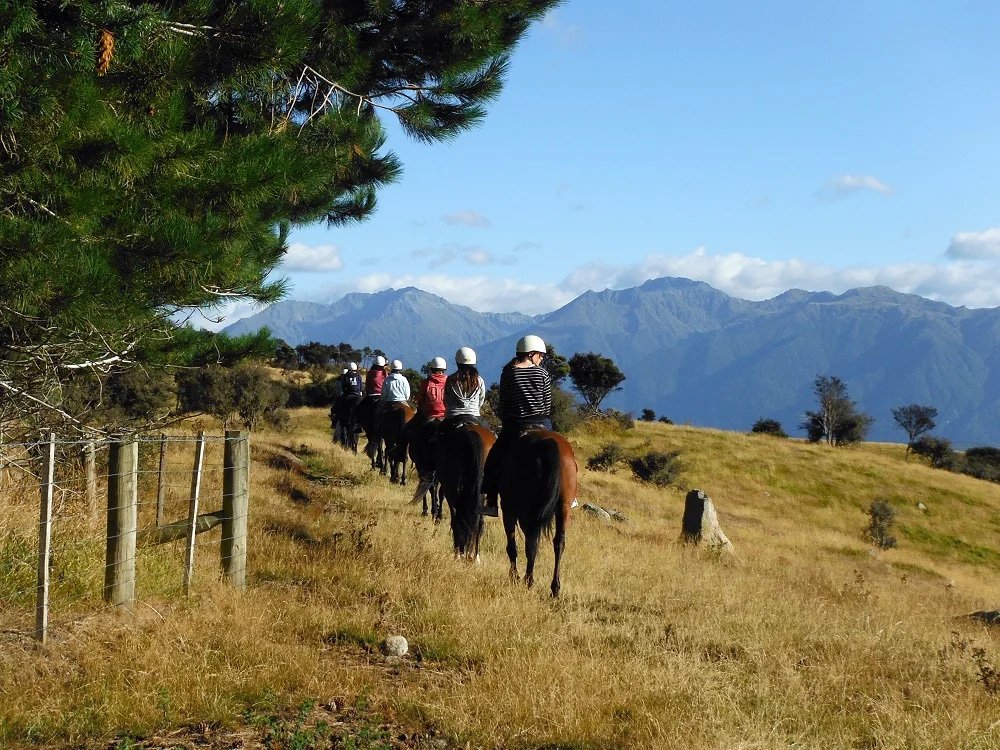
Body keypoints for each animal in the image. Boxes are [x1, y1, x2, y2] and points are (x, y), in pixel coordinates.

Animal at [497, 429, 578, 597]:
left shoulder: (508, 509)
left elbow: (512, 545)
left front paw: (514, 576)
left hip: (526, 511)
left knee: (531, 543)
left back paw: (528, 580)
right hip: (563, 508)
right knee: (558, 543)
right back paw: (554, 588)